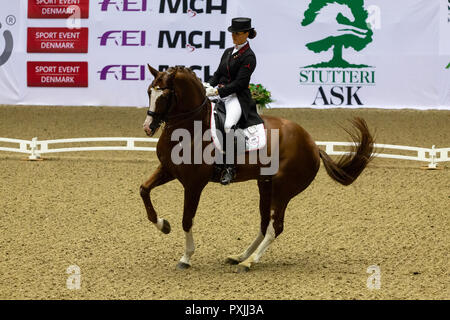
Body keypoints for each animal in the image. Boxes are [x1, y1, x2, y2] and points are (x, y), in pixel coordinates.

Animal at [142, 65, 376, 272]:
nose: (147, 128)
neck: (190, 128)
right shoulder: (168, 170)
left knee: (275, 227)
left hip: (283, 188)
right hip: (265, 184)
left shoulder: (194, 184)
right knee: (264, 224)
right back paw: (240, 256)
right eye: (149, 91)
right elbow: (144, 190)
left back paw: (249, 262)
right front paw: (163, 225)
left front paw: (186, 257)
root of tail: (312, 144)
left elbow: (187, 219)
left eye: (164, 95)